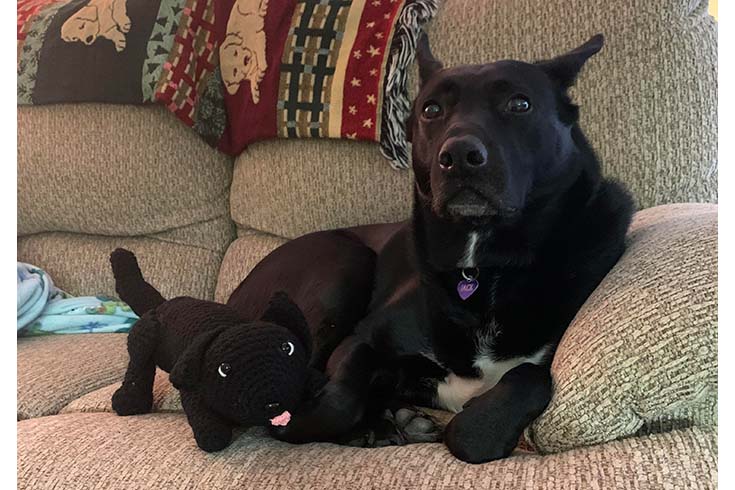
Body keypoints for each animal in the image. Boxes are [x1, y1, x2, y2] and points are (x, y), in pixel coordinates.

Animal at [226, 35, 632, 464]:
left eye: (520, 104)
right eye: (431, 109)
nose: (459, 157)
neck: (481, 265)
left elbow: (517, 390)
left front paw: (476, 423)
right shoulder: (361, 341)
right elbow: (335, 402)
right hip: (343, 265)